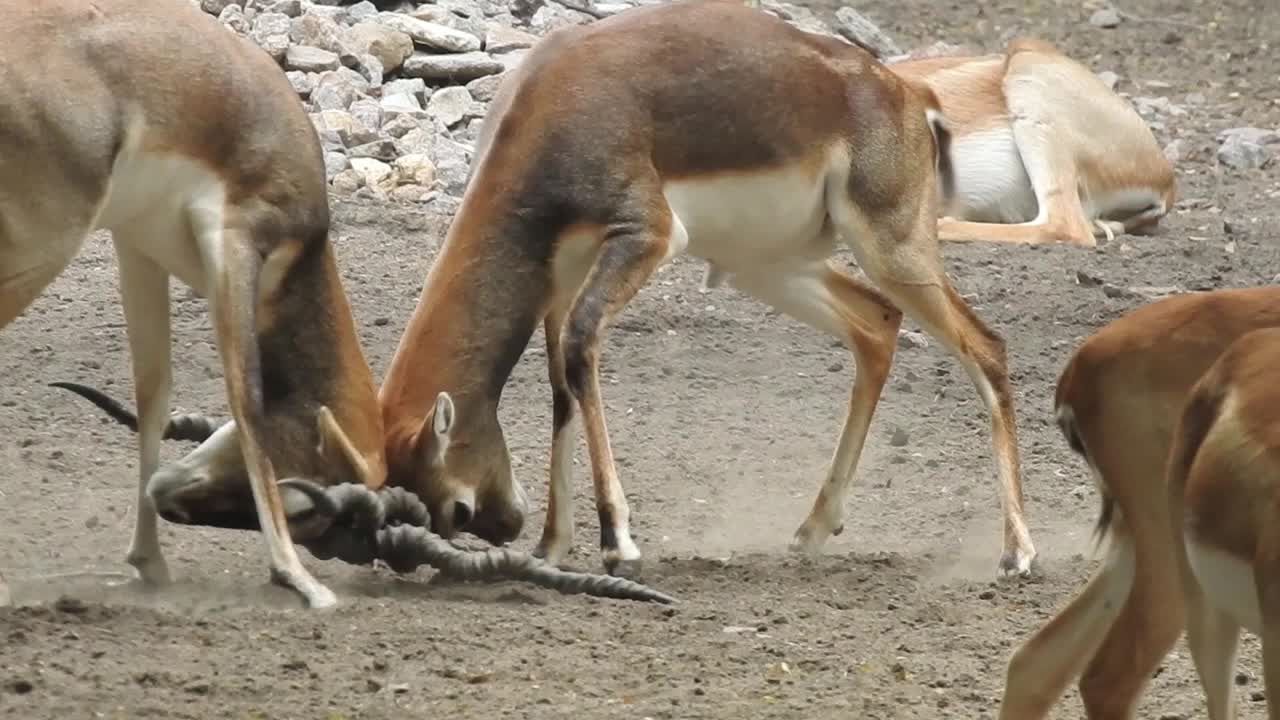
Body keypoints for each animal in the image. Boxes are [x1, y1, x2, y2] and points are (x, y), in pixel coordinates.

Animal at [373, 0, 1034, 579]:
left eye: (456, 509)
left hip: (890, 251)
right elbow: (562, 383)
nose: (508, 525)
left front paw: (618, 544)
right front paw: (553, 545)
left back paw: (1017, 553)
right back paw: (814, 527)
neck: (552, 101)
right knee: (876, 325)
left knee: (987, 347)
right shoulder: (561, 272)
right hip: (764, 265)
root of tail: (908, 96)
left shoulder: (645, 237)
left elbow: (582, 346)